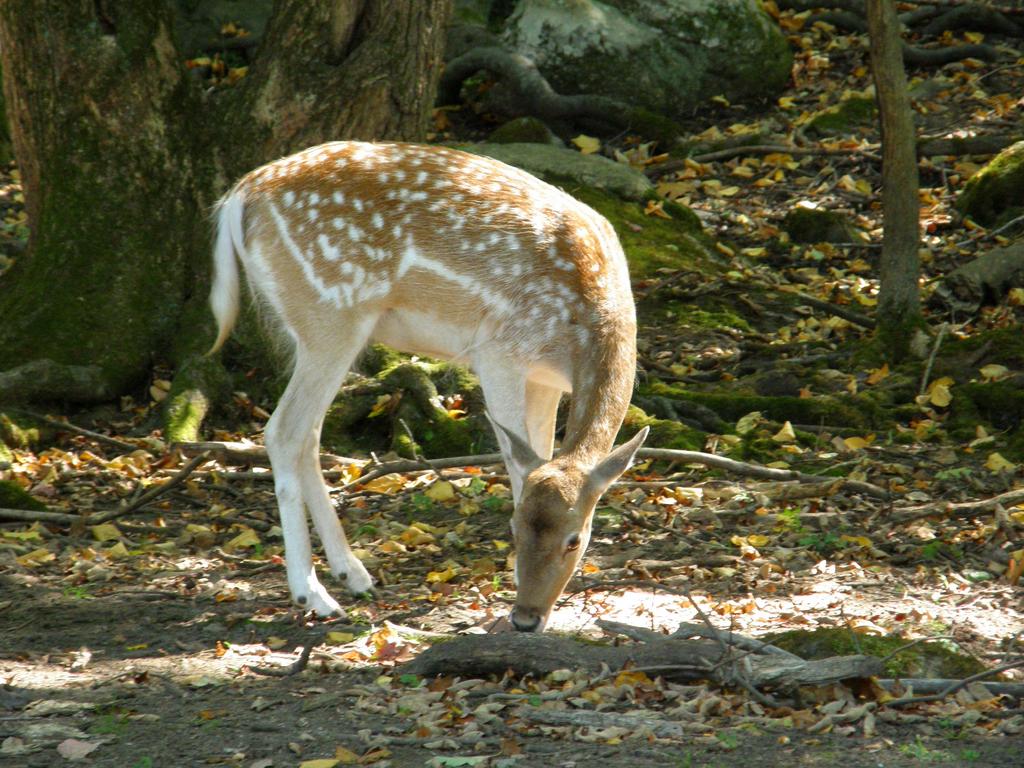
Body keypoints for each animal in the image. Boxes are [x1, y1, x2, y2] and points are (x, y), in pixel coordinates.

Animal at [207, 141, 647, 634]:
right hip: (331, 315)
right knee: (283, 431)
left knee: (310, 434)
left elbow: (541, 455)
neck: (581, 330)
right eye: (514, 528)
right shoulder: (500, 351)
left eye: (575, 539)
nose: (526, 619)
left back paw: (353, 574)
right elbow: (518, 469)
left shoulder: (545, 379)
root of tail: (238, 196)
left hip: (321, 329)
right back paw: (313, 594)